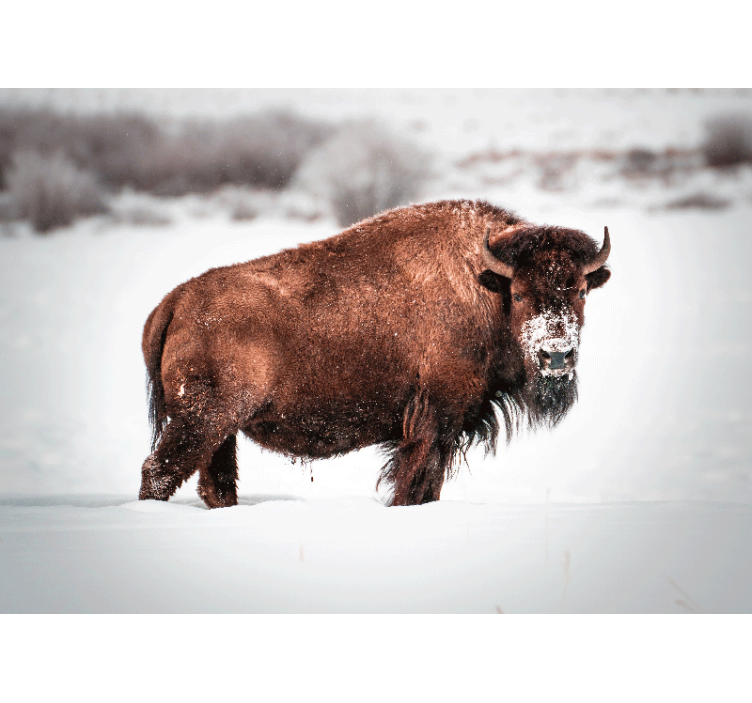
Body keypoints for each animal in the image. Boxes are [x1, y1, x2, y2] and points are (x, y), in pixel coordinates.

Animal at [139, 199, 611, 507]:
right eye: (520, 293)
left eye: (581, 291)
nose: (556, 356)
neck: (484, 285)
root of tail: (175, 301)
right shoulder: (434, 421)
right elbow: (416, 485)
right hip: (202, 422)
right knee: (159, 472)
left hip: (221, 431)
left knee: (215, 483)